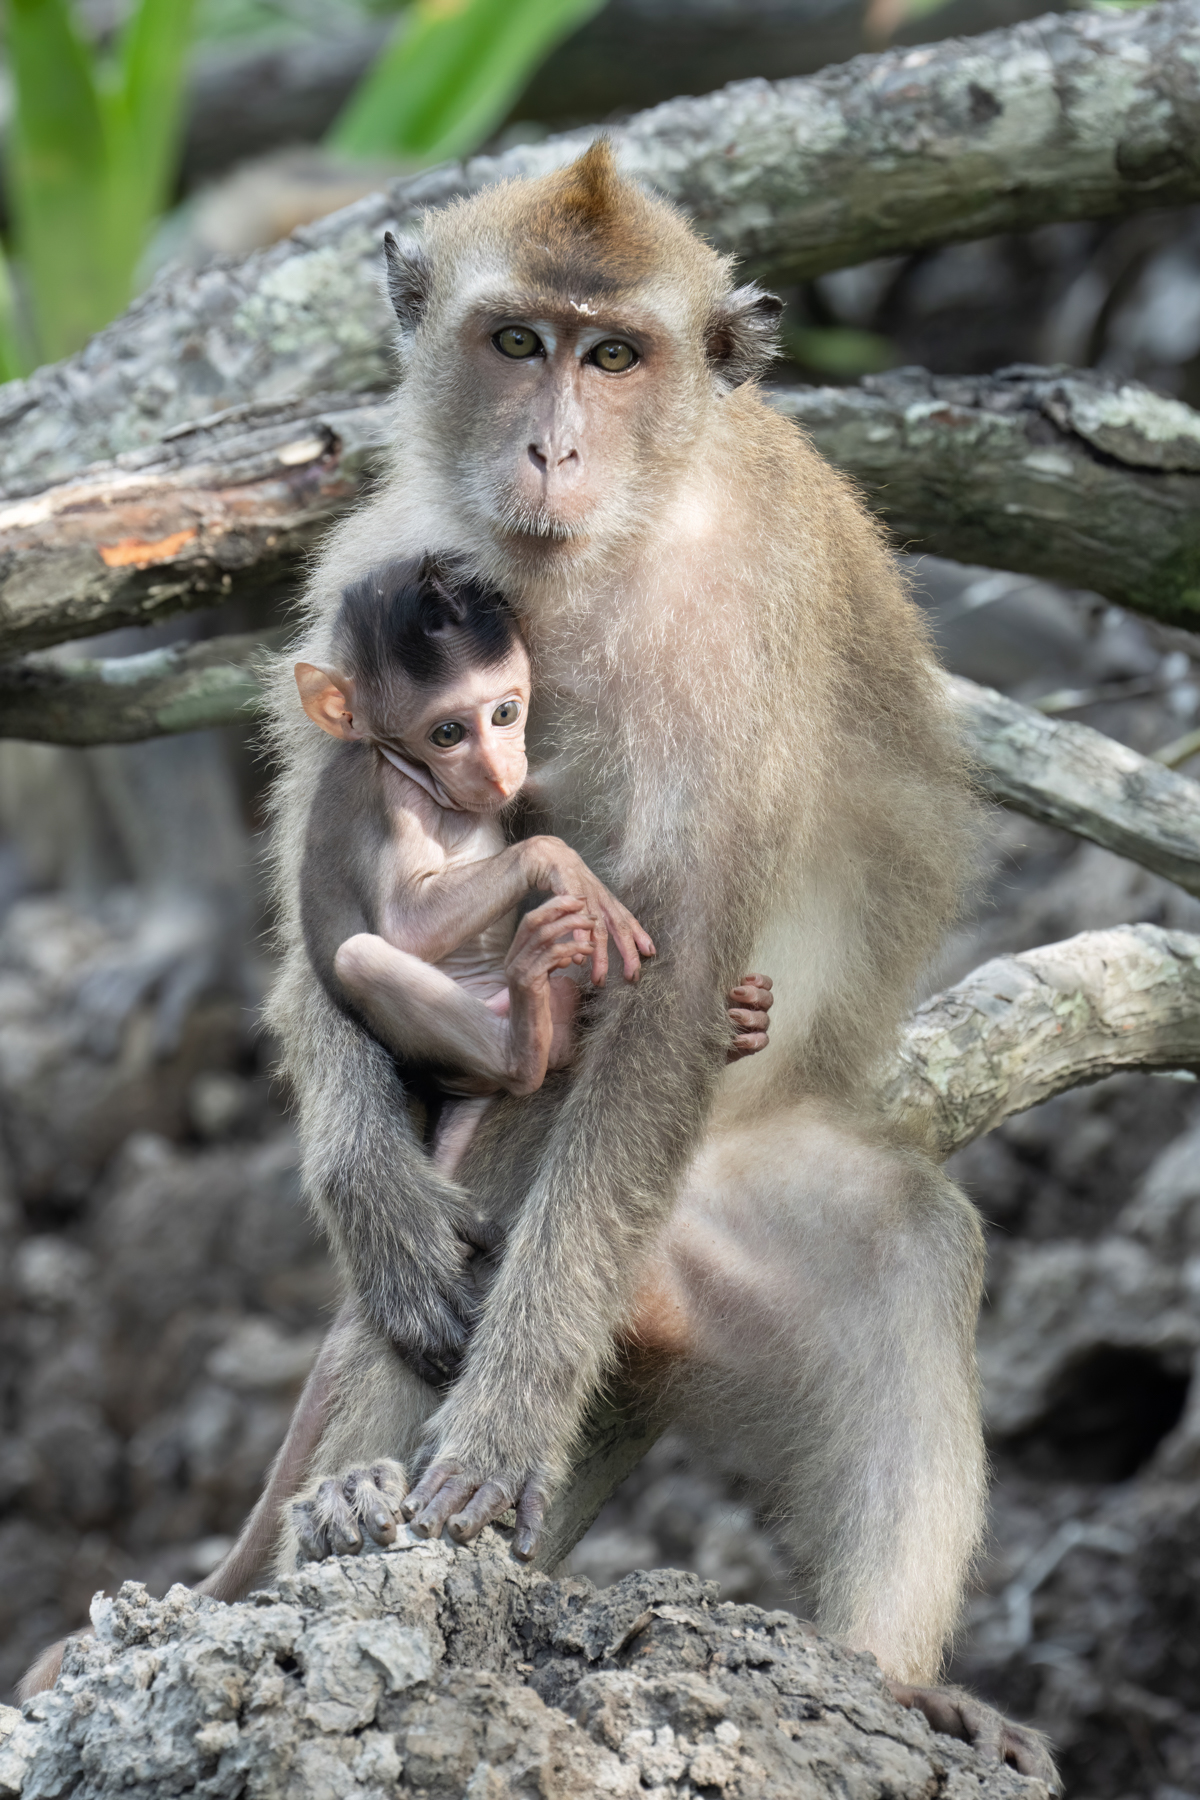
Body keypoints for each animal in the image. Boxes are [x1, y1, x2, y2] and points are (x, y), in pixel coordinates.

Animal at [20, 141, 1055, 1782]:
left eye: (613, 356)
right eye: (517, 342)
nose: (552, 446)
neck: (604, 549)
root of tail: (661, 1292)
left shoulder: (733, 654)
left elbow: (673, 983)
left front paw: (505, 1426)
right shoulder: (366, 569)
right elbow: (328, 926)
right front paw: (374, 1199)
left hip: (746, 1221)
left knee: (898, 1246)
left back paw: (892, 1683)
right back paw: (345, 1498)